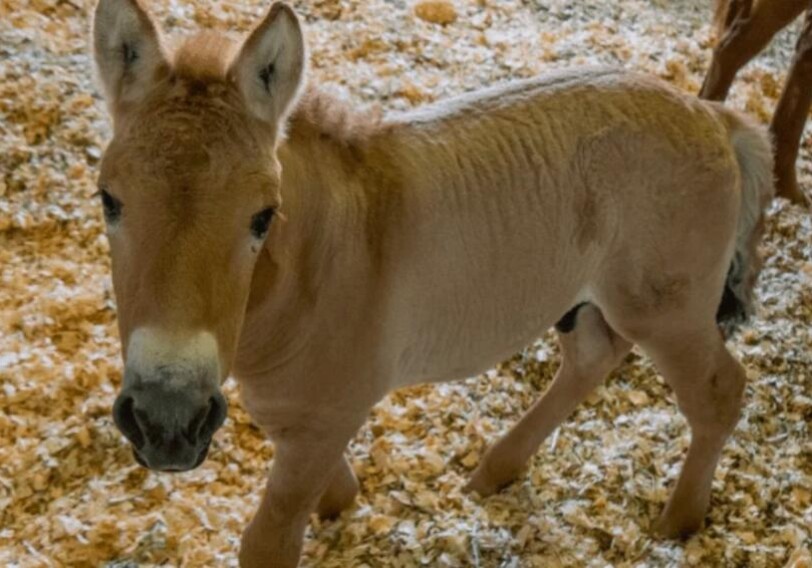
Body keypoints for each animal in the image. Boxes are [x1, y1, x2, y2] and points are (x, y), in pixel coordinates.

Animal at [92, 1, 772, 568]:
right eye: (108, 200)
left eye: (263, 216)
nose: (166, 420)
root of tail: (713, 116)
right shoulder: (295, 411)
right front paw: (342, 503)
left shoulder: (327, 415)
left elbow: (270, 540)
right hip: (589, 299)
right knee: (592, 357)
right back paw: (497, 469)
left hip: (667, 310)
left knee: (718, 391)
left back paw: (679, 521)